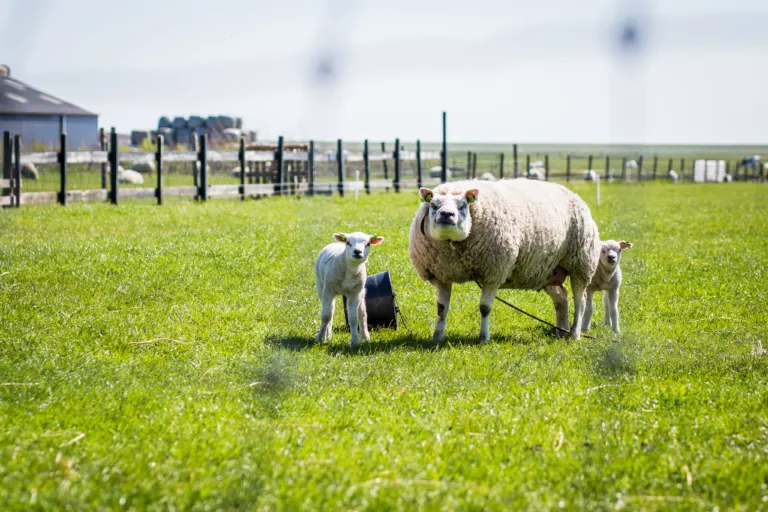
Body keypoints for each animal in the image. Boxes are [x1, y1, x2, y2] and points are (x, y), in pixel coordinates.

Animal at [408, 178, 600, 342]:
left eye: (463, 205)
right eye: (433, 205)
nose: (447, 214)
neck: (452, 245)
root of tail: (574, 194)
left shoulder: (494, 273)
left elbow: (484, 308)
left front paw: (484, 338)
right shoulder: (441, 275)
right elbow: (441, 308)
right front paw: (437, 337)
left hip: (581, 264)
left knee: (580, 300)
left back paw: (574, 334)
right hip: (547, 270)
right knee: (561, 297)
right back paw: (561, 331)